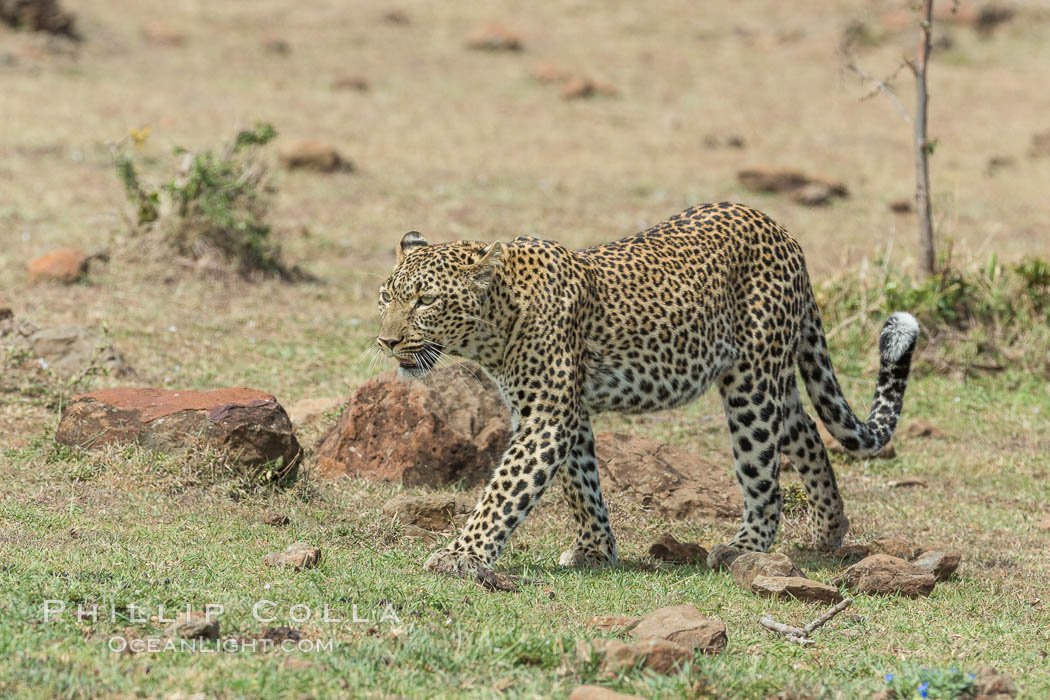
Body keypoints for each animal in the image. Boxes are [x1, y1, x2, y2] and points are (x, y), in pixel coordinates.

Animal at [373, 201, 915, 579]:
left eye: (425, 300)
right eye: (386, 295)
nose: (387, 340)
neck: (497, 321)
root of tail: (781, 231)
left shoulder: (548, 417)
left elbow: (504, 490)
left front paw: (461, 555)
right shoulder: (567, 412)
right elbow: (581, 483)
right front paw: (595, 550)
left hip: (752, 383)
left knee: (765, 470)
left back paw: (745, 547)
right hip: (772, 378)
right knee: (804, 429)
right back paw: (829, 530)